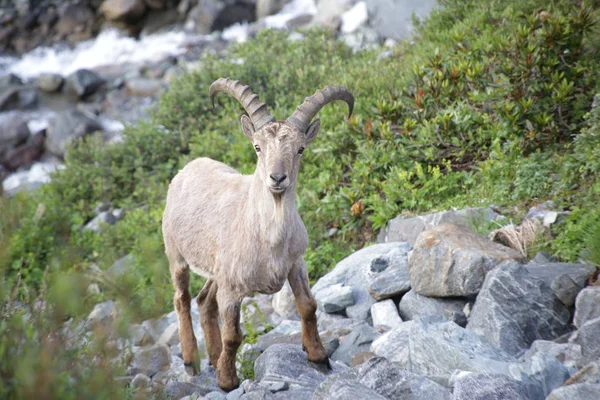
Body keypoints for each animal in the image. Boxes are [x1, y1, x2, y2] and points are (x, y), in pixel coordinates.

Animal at [162, 78, 354, 390]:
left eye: (300, 149)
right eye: (257, 147)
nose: (277, 178)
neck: (268, 240)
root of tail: (189, 167)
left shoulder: (295, 263)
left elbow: (308, 307)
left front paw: (319, 357)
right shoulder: (231, 289)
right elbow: (233, 335)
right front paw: (228, 381)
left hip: (216, 270)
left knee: (204, 301)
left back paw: (213, 358)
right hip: (176, 254)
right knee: (182, 298)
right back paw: (192, 360)